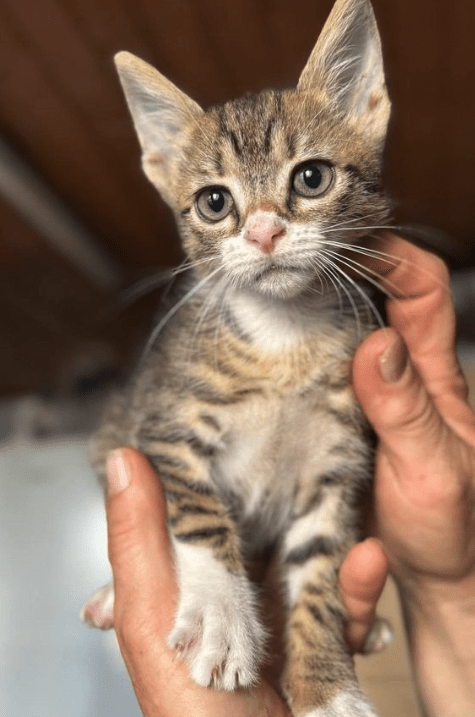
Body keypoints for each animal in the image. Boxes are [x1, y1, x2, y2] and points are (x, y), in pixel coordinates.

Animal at [82, 1, 394, 716]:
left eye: (311, 177)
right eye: (215, 202)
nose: (264, 231)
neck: (284, 340)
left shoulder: (336, 467)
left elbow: (320, 576)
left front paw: (326, 689)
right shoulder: (165, 426)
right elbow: (199, 515)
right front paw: (222, 619)